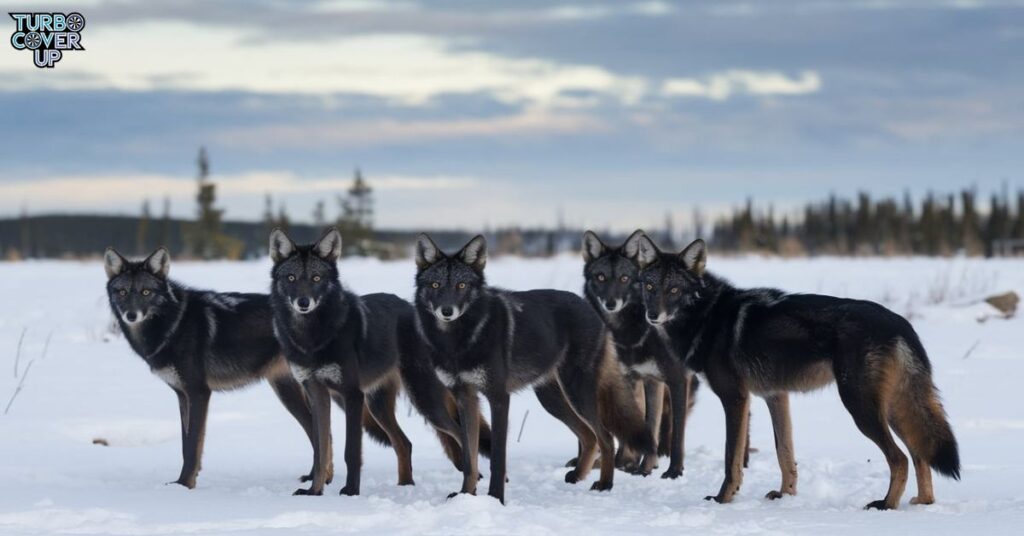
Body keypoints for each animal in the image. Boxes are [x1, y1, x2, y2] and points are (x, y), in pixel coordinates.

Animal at [103, 248, 317, 489]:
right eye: (122, 292)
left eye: (145, 291)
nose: (131, 315)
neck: (173, 324)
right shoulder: (182, 395)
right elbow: (186, 444)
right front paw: (183, 484)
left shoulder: (199, 393)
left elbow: (192, 446)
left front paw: (184, 484)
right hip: (286, 391)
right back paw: (314, 477)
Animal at [268, 228, 491, 498]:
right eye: (291, 278)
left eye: (316, 278)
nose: (303, 302)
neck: (313, 338)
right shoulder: (317, 393)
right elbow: (321, 450)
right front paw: (314, 491)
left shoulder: (352, 395)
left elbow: (350, 452)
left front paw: (350, 491)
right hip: (379, 407)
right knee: (405, 443)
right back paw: (405, 486)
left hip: (425, 402)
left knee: (463, 437)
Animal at [411, 233, 651, 504]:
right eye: (435, 285)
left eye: (461, 286)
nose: (447, 311)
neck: (458, 341)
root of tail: (590, 308)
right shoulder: (465, 398)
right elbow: (469, 458)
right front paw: (466, 495)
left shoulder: (498, 398)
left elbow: (497, 459)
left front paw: (495, 498)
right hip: (553, 401)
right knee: (589, 437)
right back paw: (578, 476)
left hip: (577, 394)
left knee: (606, 438)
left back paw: (605, 484)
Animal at [630, 236, 958, 510]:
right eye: (650, 287)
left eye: (674, 289)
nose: (651, 315)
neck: (707, 315)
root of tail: (900, 323)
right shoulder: (775, 396)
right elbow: (784, 452)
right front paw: (785, 494)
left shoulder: (735, 398)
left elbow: (731, 458)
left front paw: (723, 498)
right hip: (890, 409)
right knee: (919, 455)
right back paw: (923, 502)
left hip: (861, 408)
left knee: (900, 458)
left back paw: (886, 504)